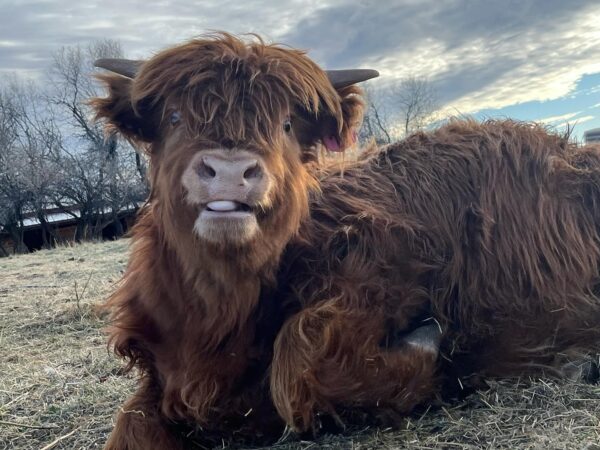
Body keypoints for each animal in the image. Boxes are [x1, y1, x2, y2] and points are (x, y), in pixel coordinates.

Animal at [92, 33, 600, 448]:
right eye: (174, 117)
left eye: (286, 124)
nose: (231, 170)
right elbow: (129, 425)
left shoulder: (388, 264)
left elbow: (296, 364)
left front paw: (433, 356)